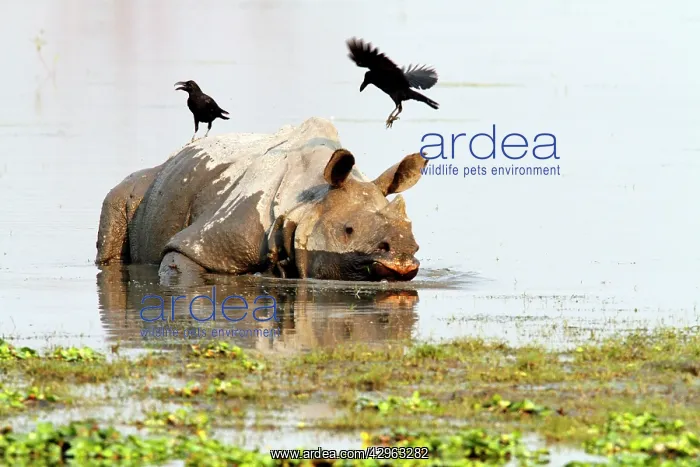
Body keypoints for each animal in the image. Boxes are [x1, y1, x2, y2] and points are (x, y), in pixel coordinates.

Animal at [95, 117, 428, 281]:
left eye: (415, 239)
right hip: (146, 185)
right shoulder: (208, 239)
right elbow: (180, 266)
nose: (402, 255)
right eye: (348, 231)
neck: (308, 199)